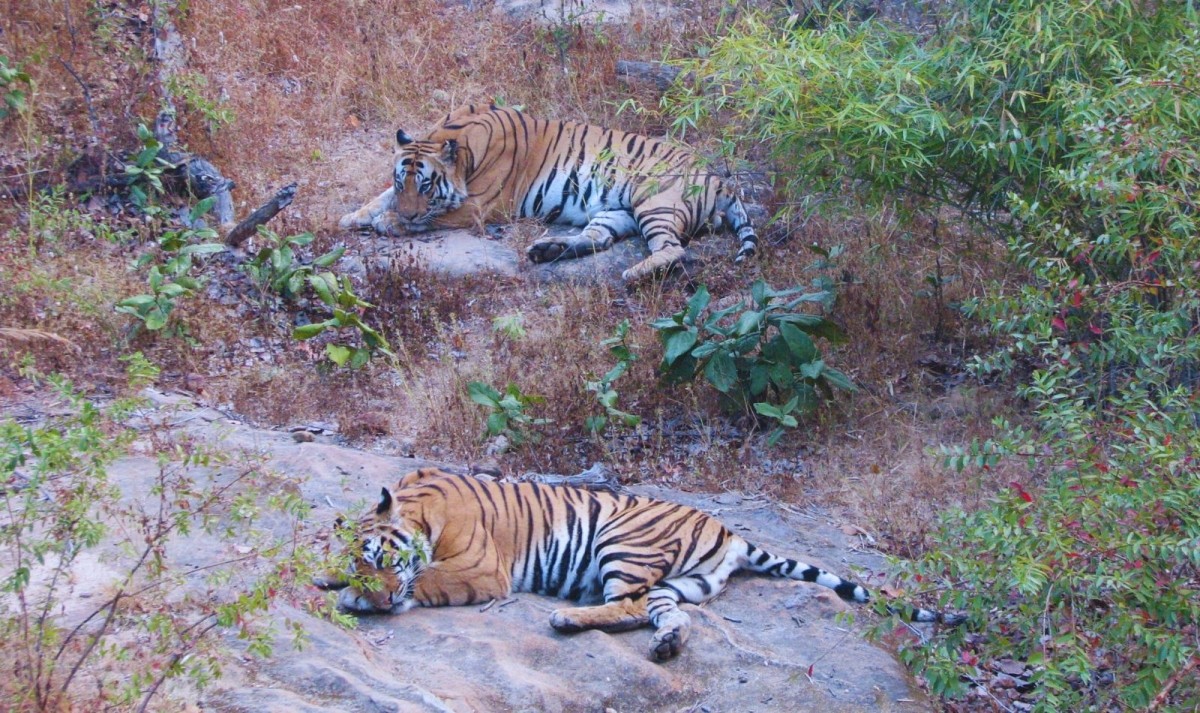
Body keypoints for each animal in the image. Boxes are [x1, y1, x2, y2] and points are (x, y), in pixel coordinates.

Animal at [315, 468, 959, 661]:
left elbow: (425, 581)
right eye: (364, 561)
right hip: (679, 585)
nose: (377, 598)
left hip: (622, 544)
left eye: (383, 559)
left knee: (620, 605)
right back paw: (667, 644)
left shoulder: (480, 572)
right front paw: (330, 576)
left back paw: (567, 621)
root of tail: (732, 533)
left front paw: (358, 598)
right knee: (663, 614)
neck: (419, 509)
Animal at [337, 104, 759, 281]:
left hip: (654, 204)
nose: (408, 211)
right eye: (402, 181)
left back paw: (633, 273)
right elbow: (379, 197)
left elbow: (434, 215)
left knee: (673, 251)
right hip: (616, 211)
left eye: (427, 185)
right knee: (597, 239)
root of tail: (718, 178)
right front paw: (355, 216)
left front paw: (391, 222)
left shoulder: (478, 206)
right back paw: (547, 250)